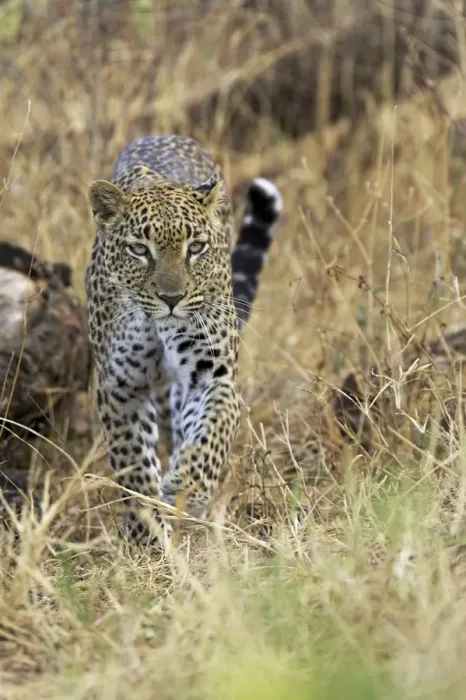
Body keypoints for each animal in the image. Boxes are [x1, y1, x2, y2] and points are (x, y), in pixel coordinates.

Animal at [86, 134, 282, 549]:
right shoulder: (120, 387)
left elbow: (211, 431)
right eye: (139, 250)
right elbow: (133, 463)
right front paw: (147, 535)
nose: (171, 298)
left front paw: (187, 487)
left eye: (196, 248)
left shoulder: (212, 374)